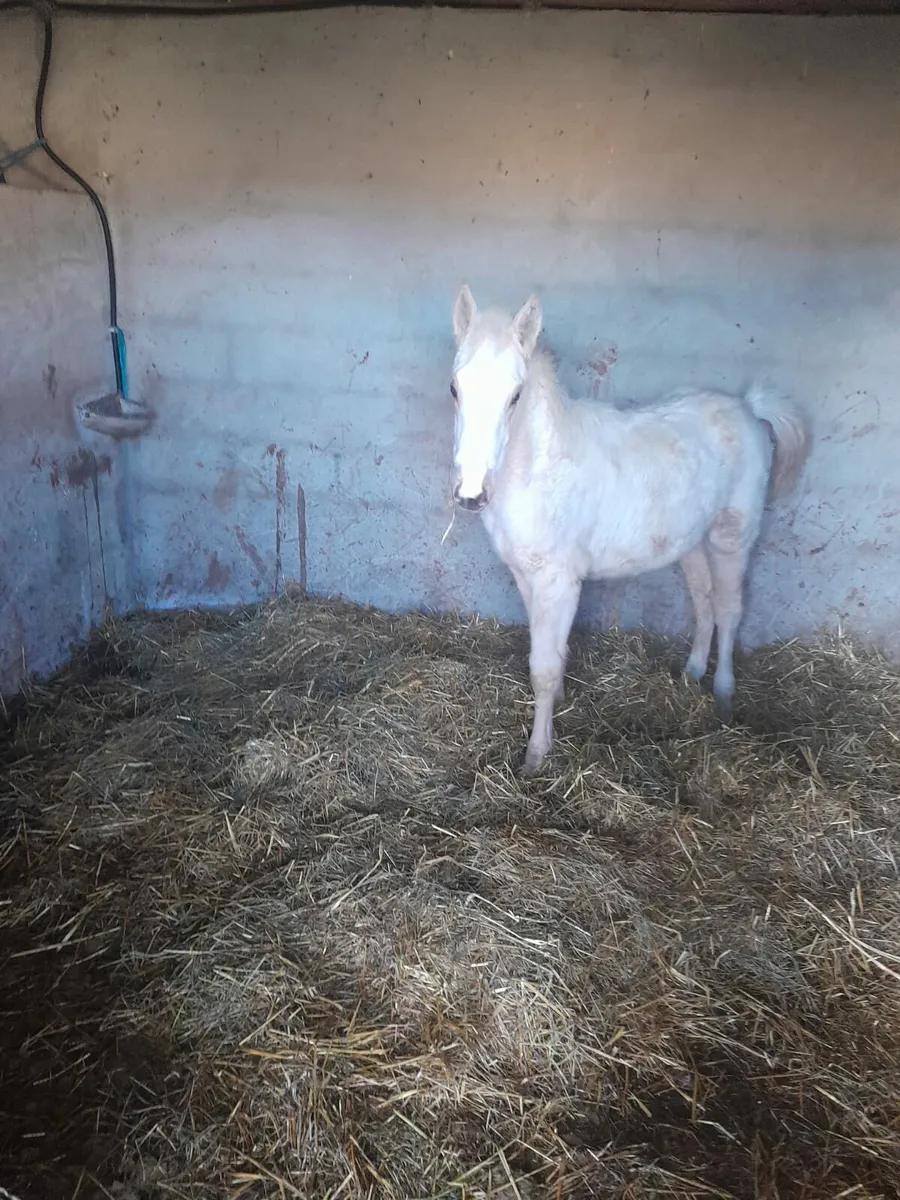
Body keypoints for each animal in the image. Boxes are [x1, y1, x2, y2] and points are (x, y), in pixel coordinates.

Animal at [448, 285, 810, 775]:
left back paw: (722, 695)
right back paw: (691, 675)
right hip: (691, 542)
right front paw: (557, 707)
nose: (470, 494)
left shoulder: (559, 581)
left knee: (730, 609)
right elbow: (552, 651)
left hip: (731, 537)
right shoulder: (526, 576)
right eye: (455, 388)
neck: (540, 469)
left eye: (515, 396)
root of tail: (749, 409)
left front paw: (536, 757)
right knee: (704, 603)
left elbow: (543, 668)